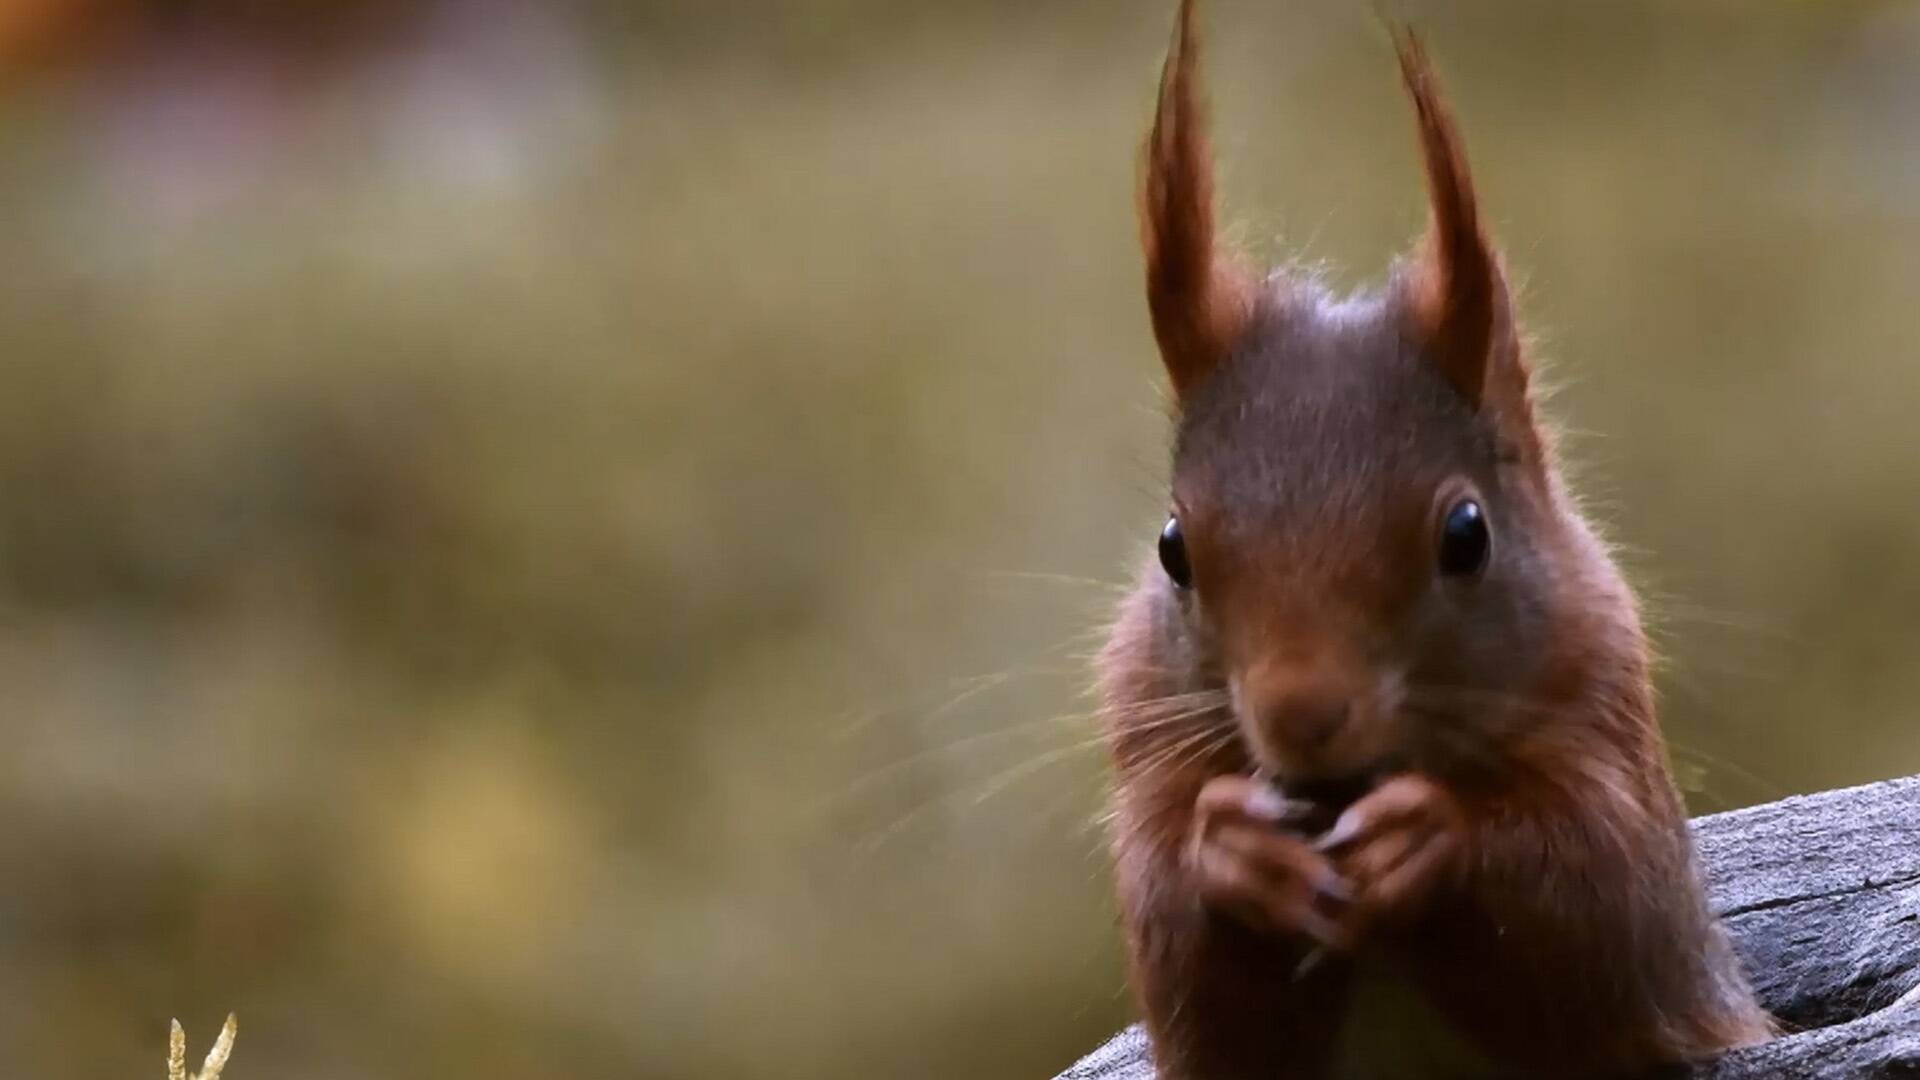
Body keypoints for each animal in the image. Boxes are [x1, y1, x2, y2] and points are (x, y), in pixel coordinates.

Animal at [1105, 4, 1774, 1068]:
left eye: (1467, 536)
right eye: (1174, 548)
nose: (1300, 713)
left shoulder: (1608, 721)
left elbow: (1600, 910)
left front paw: (1427, 836)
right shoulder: (1142, 729)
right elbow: (1189, 961)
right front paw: (1233, 851)